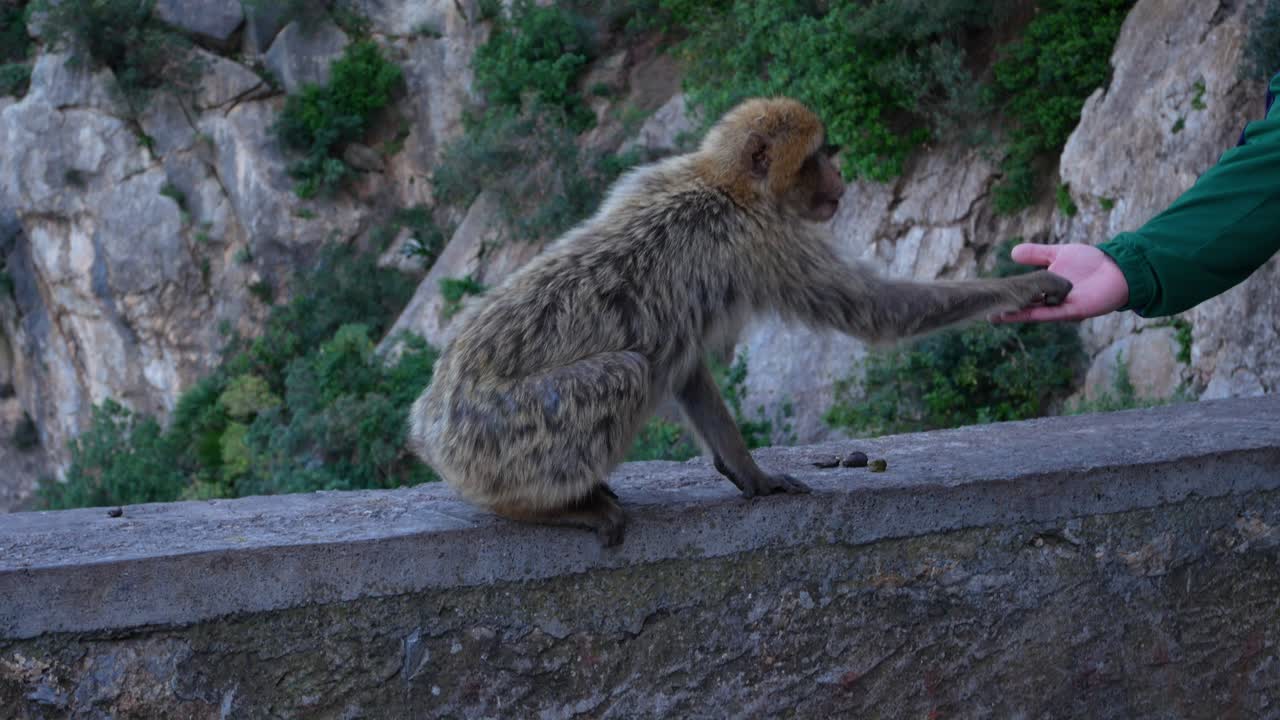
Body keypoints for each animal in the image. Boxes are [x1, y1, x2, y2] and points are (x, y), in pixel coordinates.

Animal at [408, 96, 1072, 547]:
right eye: (817, 159)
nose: (840, 178)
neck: (722, 181)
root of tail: (431, 428)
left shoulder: (651, 177)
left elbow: (688, 371)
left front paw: (747, 472)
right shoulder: (768, 240)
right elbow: (874, 310)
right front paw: (1028, 285)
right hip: (500, 438)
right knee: (624, 373)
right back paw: (541, 507)